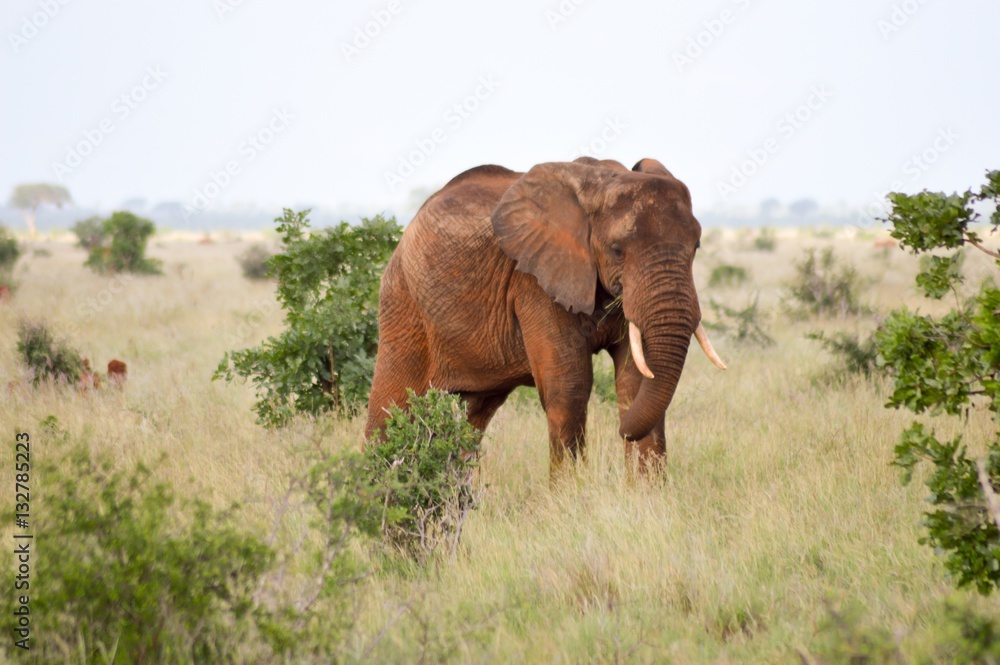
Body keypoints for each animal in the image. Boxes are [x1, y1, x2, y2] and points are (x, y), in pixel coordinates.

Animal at [364, 156, 724, 472]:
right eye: (617, 250)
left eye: (696, 247)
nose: (621, 432)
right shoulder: (534, 282)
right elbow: (569, 388)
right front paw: (571, 498)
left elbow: (636, 381)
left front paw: (645, 495)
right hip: (403, 303)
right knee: (390, 409)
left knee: (473, 417)